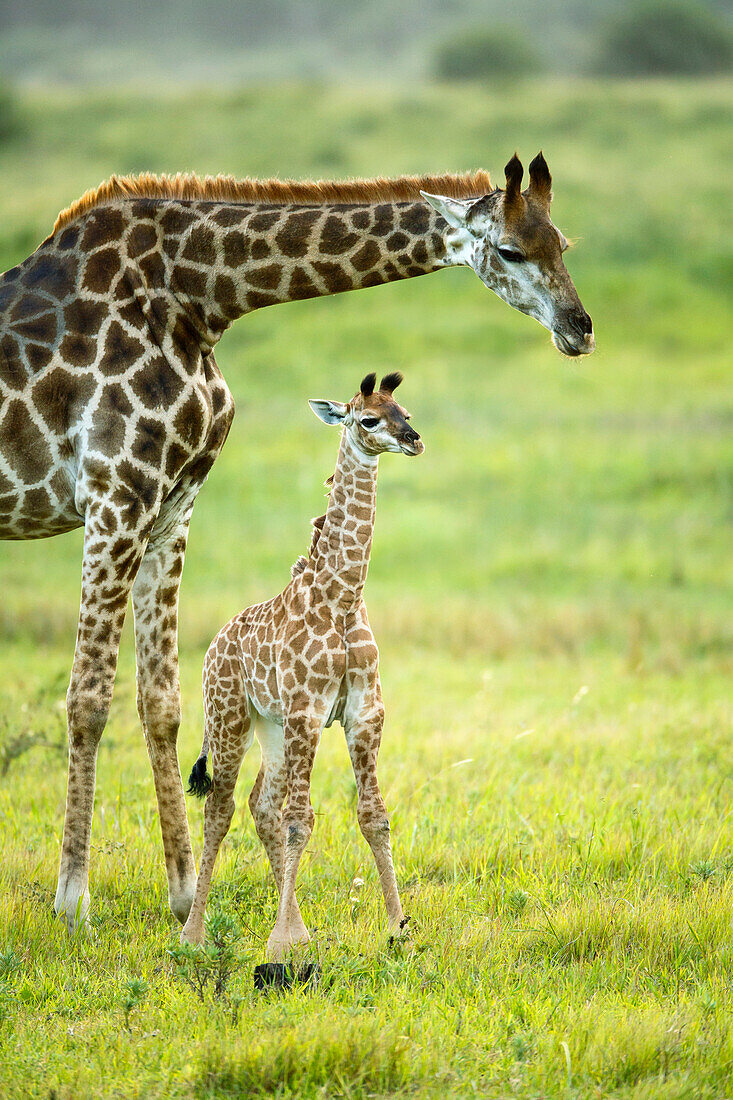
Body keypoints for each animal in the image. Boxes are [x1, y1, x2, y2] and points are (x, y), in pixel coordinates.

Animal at [180, 369, 422, 954]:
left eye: (404, 410)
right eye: (369, 419)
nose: (414, 440)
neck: (342, 597)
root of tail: (214, 645)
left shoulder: (364, 712)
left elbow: (373, 816)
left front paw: (397, 928)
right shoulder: (307, 711)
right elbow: (299, 819)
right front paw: (280, 946)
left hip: (269, 725)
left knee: (259, 804)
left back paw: (299, 926)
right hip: (229, 717)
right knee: (221, 807)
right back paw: (195, 933)